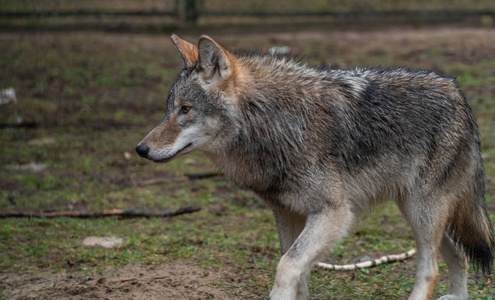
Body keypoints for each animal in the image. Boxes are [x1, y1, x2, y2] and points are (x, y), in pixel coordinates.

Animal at [135, 35, 492, 300]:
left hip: (422, 212)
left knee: (431, 270)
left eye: (185, 110)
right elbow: (299, 277)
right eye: (168, 110)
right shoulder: (288, 214)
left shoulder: (333, 213)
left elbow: (286, 267)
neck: (272, 122)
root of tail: (457, 91)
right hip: (416, 211)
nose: (141, 149)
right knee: (458, 255)